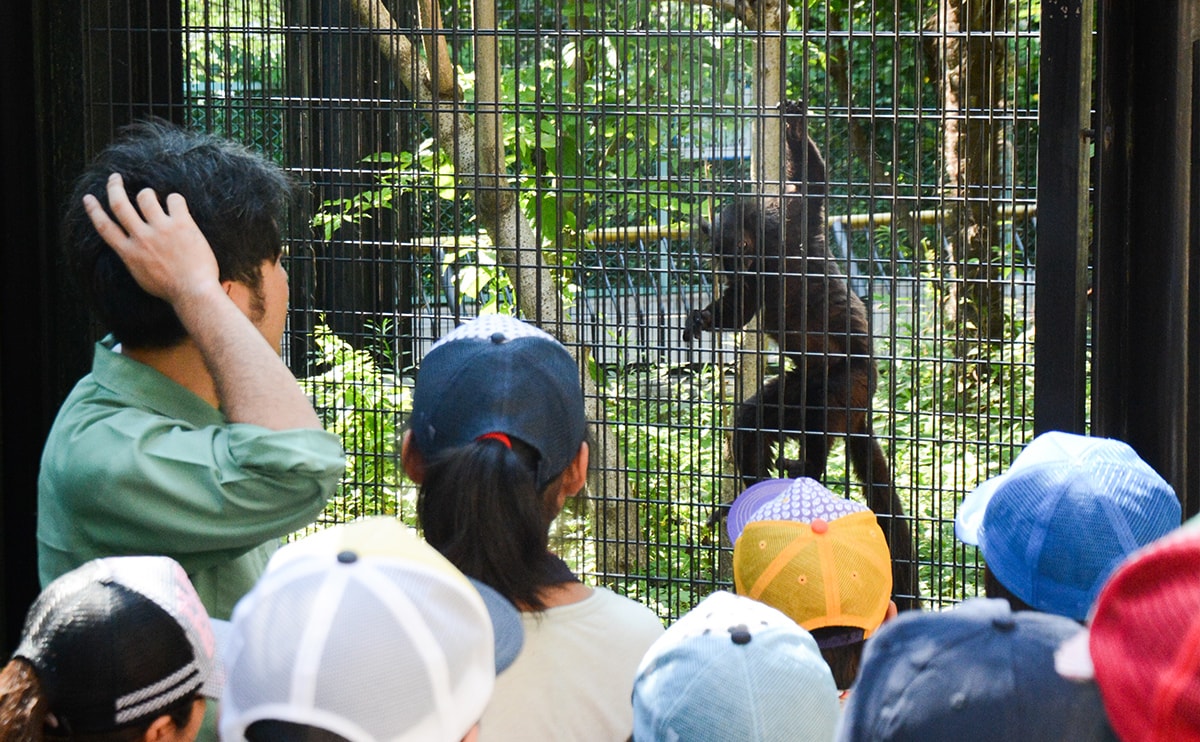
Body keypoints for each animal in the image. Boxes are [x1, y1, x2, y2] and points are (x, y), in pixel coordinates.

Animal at [681, 100, 921, 609]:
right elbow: (740, 309)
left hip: (852, 383)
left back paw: (808, 468)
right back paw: (754, 497)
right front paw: (704, 319)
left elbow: (813, 186)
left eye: (732, 251)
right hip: (799, 387)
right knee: (754, 420)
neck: (765, 258)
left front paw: (793, 126)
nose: (734, 265)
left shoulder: (789, 229)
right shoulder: (753, 277)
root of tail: (864, 410)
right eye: (722, 258)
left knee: (822, 412)